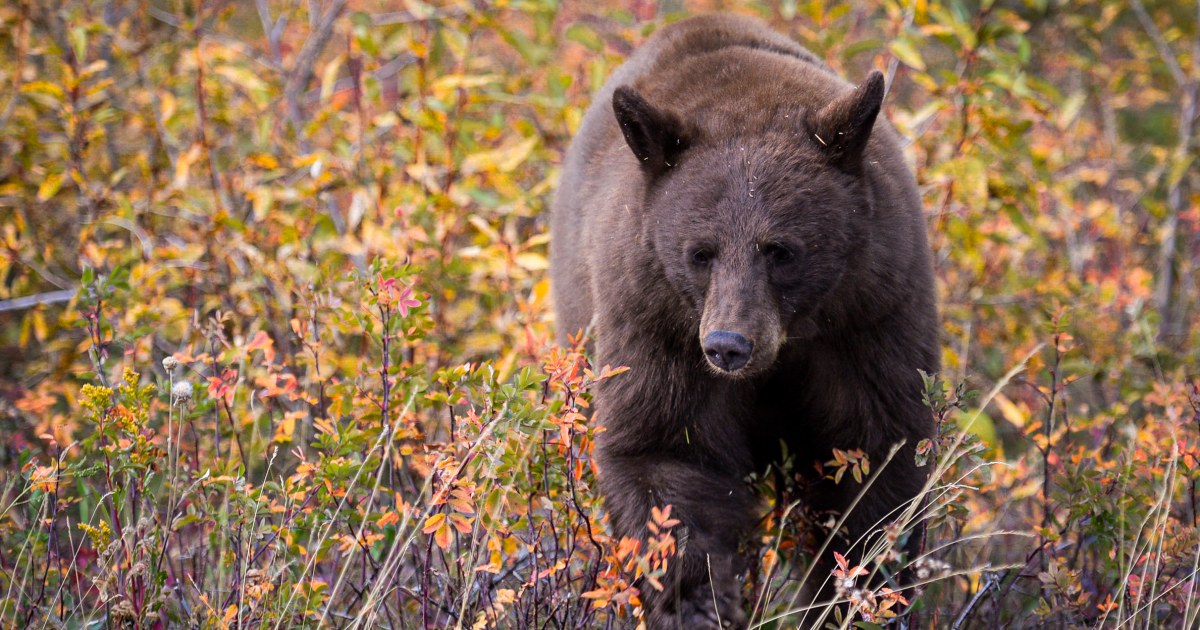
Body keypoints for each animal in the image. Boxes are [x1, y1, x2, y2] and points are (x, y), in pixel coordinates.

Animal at [549, 12, 936, 624]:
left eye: (781, 250)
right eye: (699, 252)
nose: (728, 345)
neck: (787, 344)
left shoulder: (873, 311)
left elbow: (877, 455)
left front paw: (857, 596)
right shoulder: (655, 319)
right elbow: (666, 453)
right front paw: (697, 602)